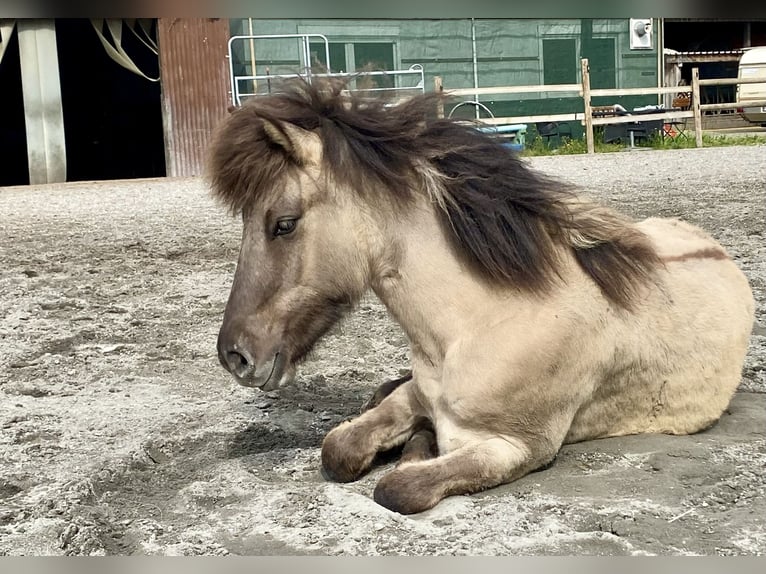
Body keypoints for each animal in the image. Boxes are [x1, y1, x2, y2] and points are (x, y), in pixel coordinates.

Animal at [207, 77, 760, 516]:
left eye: (283, 223)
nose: (234, 355)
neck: (480, 323)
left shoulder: (519, 448)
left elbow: (399, 488)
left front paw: (414, 451)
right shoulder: (417, 394)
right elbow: (339, 448)